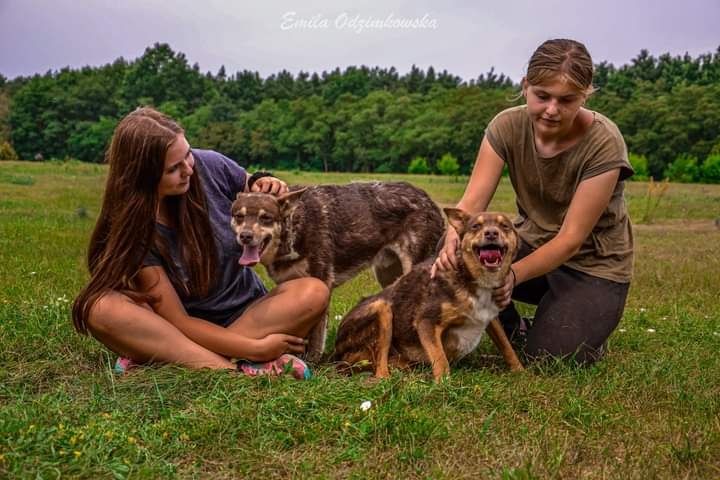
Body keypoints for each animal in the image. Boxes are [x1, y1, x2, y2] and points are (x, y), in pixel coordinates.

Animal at [231, 181, 444, 360]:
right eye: (239, 216)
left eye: (265, 218)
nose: (245, 236)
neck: (293, 228)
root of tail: (429, 201)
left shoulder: (322, 282)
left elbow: (316, 337)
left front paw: (312, 362)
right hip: (389, 275)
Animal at [332, 208, 524, 380]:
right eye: (476, 226)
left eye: (505, 226)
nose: (491, 233)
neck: (471, 278)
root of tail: (336, 355)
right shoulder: (426, 322)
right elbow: (441, 360)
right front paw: (443, 386)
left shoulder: (491, 318)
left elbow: (506, 346)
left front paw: (520, 372)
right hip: (382, 307)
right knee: (380, 371)